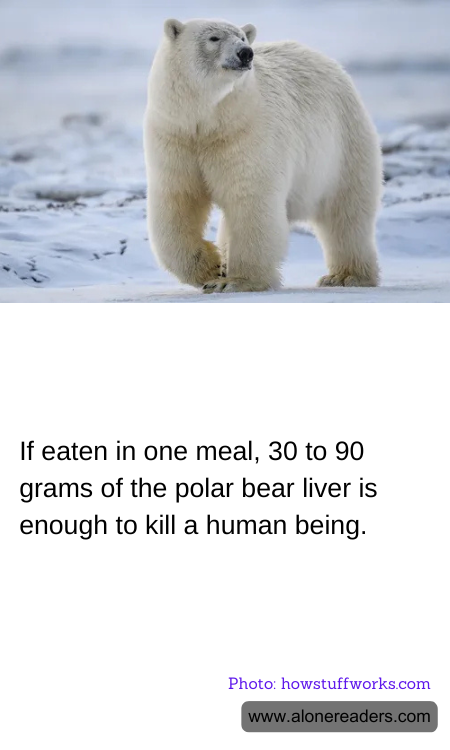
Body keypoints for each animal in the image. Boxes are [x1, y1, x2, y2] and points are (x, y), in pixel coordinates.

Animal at [144, 18, 382, 293]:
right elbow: (178, 200)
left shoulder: (245, 133)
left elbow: (251, 199)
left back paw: (345, 276)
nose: (245, 53)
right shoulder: (175, 136)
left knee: (346, 215)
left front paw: (236, 281)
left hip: (342, 147)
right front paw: (212, 268)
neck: (207, 121)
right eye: (214, 38)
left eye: (242, 37)